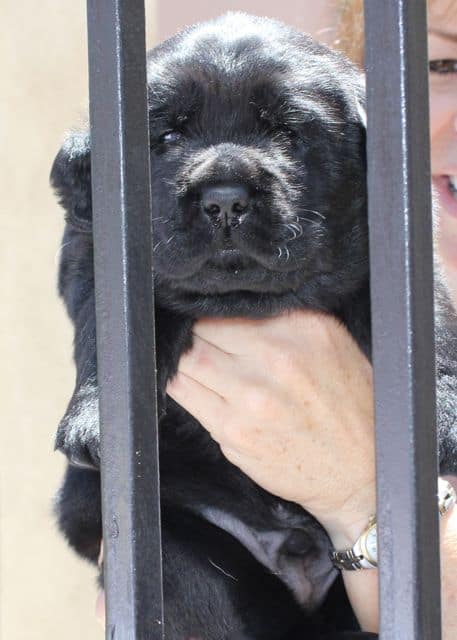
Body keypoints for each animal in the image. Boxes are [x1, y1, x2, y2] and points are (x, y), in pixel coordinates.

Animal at [50, 10, 456, 640]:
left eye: (288, 133)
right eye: (168, 138)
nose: (224, 200)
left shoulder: (401, 259)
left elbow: (431, 328)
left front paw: (441, 412)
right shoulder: (93, 253)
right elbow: (103, 329)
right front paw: (94, 414)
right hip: (174, 545)